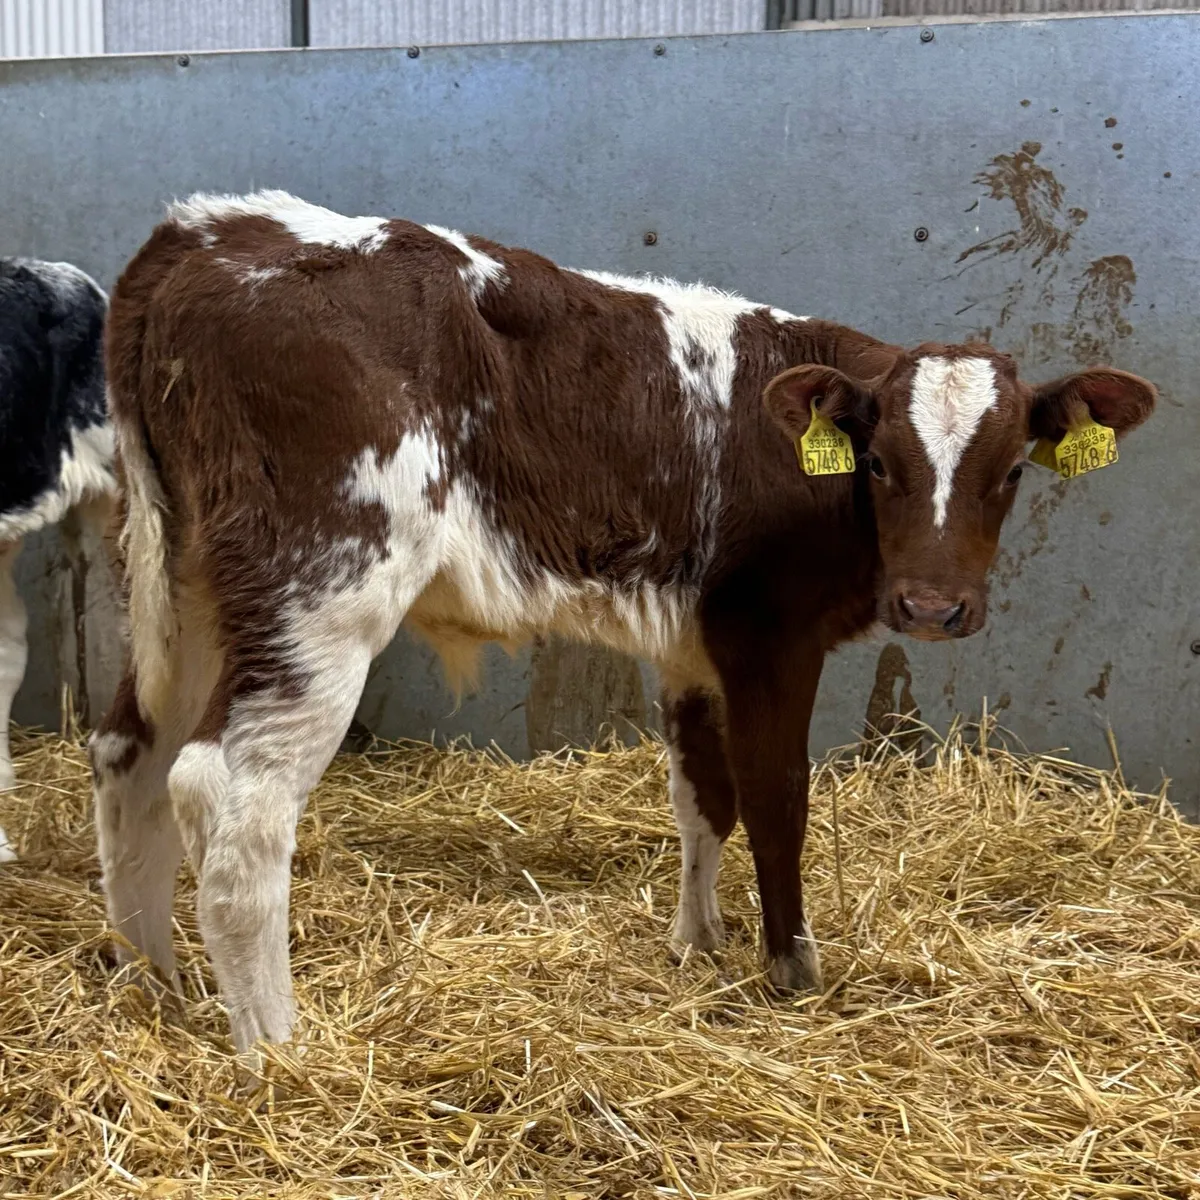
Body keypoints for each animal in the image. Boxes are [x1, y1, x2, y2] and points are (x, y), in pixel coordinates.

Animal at [91, 191, 1155, 1053]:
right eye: (881, 462)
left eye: (1011, 471)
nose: (931, 608)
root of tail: (207, 228)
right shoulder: (770, 635)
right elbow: (777, 799)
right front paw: (791, 969)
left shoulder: (690, 645)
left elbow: (702, 796)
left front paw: (698, 943)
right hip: (321, 587)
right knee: (235, 796)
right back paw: (275, 1043)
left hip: (188, 589)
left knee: (129, 753)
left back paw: (156, 984)